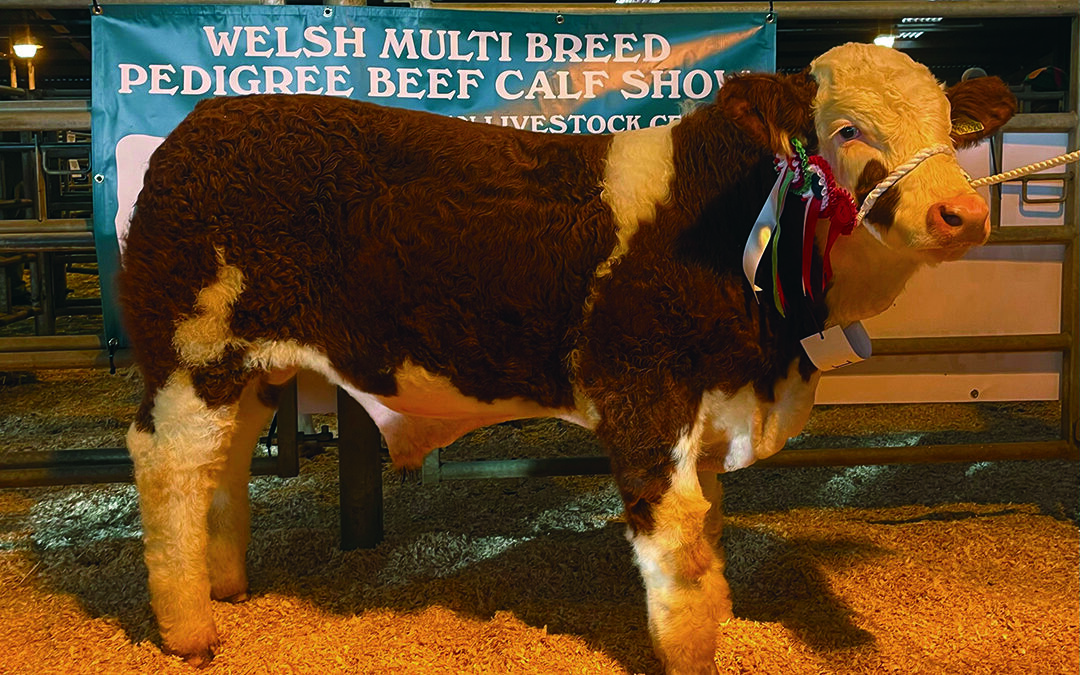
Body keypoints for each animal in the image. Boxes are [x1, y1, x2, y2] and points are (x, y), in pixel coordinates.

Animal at [122, 44, 1015, 669]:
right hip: (189, 352)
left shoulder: (710, 407)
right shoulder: (645, 398)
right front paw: (691, 651)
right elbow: (680, 544)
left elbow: (711, 530)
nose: (961, 213)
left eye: (948, 128)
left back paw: (227, 584)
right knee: (169, 465)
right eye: (848, 129)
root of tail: (198, 127)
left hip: (248, 367)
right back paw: (190, 628)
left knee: (225, 460)